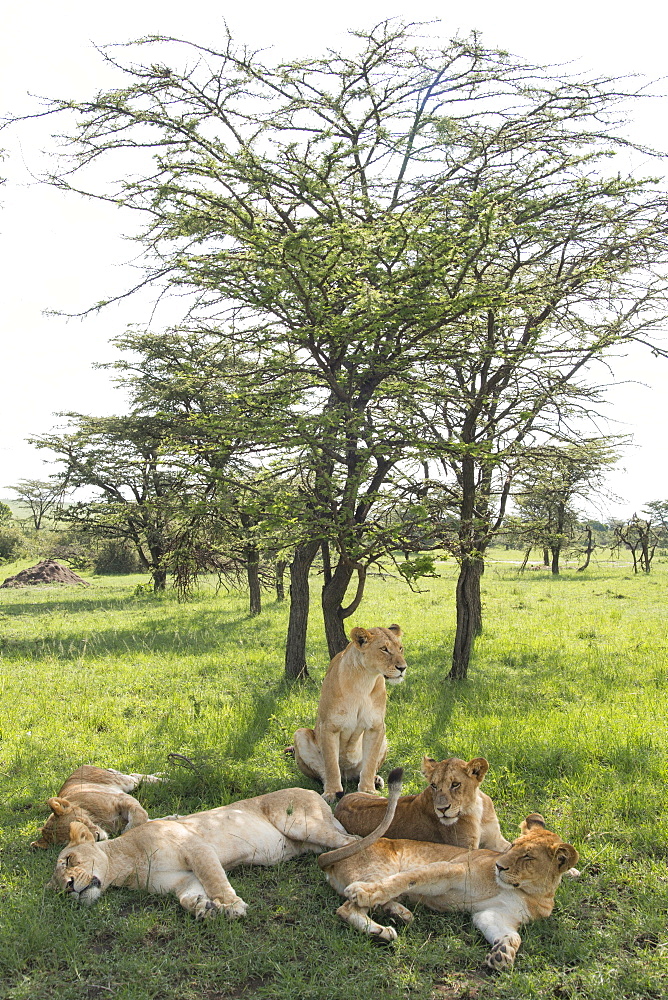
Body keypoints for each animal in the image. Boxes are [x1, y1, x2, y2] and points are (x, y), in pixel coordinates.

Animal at [32, 764, 164, 852]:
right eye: (70, 841)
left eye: (79, 822)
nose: (98, 838)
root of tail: (81, 766)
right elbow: (149, 820)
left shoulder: (122, 799)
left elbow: (139, 815)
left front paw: (128, 832)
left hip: (124, 782)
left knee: (136, 777)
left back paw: (165, 778)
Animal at [51, 784, 360, 916]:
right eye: (54, 888)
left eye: (69, 860)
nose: (67, 888)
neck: (126, 866)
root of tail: (312, 792)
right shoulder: (182, 880)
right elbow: (187, 897)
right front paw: (204, 907)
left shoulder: (196, 846)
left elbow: (215, 880)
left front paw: (231, 906)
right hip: (309, 840)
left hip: (300, 823)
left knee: (353, 840)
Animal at [292, 624, 408, 804]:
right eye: (384, 649)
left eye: (400, 648)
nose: (403, 668)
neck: (365, 680)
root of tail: (348, 775)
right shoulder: (329, 726)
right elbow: (331, 765)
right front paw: (332, 792)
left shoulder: (376, 727)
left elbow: (370, 763)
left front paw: (368, 790)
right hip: (300, 733)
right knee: (323, 772)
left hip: (384, 738)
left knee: (364, 769)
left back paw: (376, 779)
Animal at [320, 768, 580, 972]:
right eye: (515, 846)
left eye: (528, 856)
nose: (499, 866)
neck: (528, 890)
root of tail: (334, 854)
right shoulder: (452, 867)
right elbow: (406, 879)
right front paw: (364, 892)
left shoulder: (495, 914)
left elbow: (513, 936)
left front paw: (503, 953)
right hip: (381, 867)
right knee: (347, 908)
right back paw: (382, 928)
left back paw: (397, 915)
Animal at [336, 756, 508, 852]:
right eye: (433, 785)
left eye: (455, 784)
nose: (442, 809)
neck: (476, 806)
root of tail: (339, 804)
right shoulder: (467, 850)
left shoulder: (496, 840)